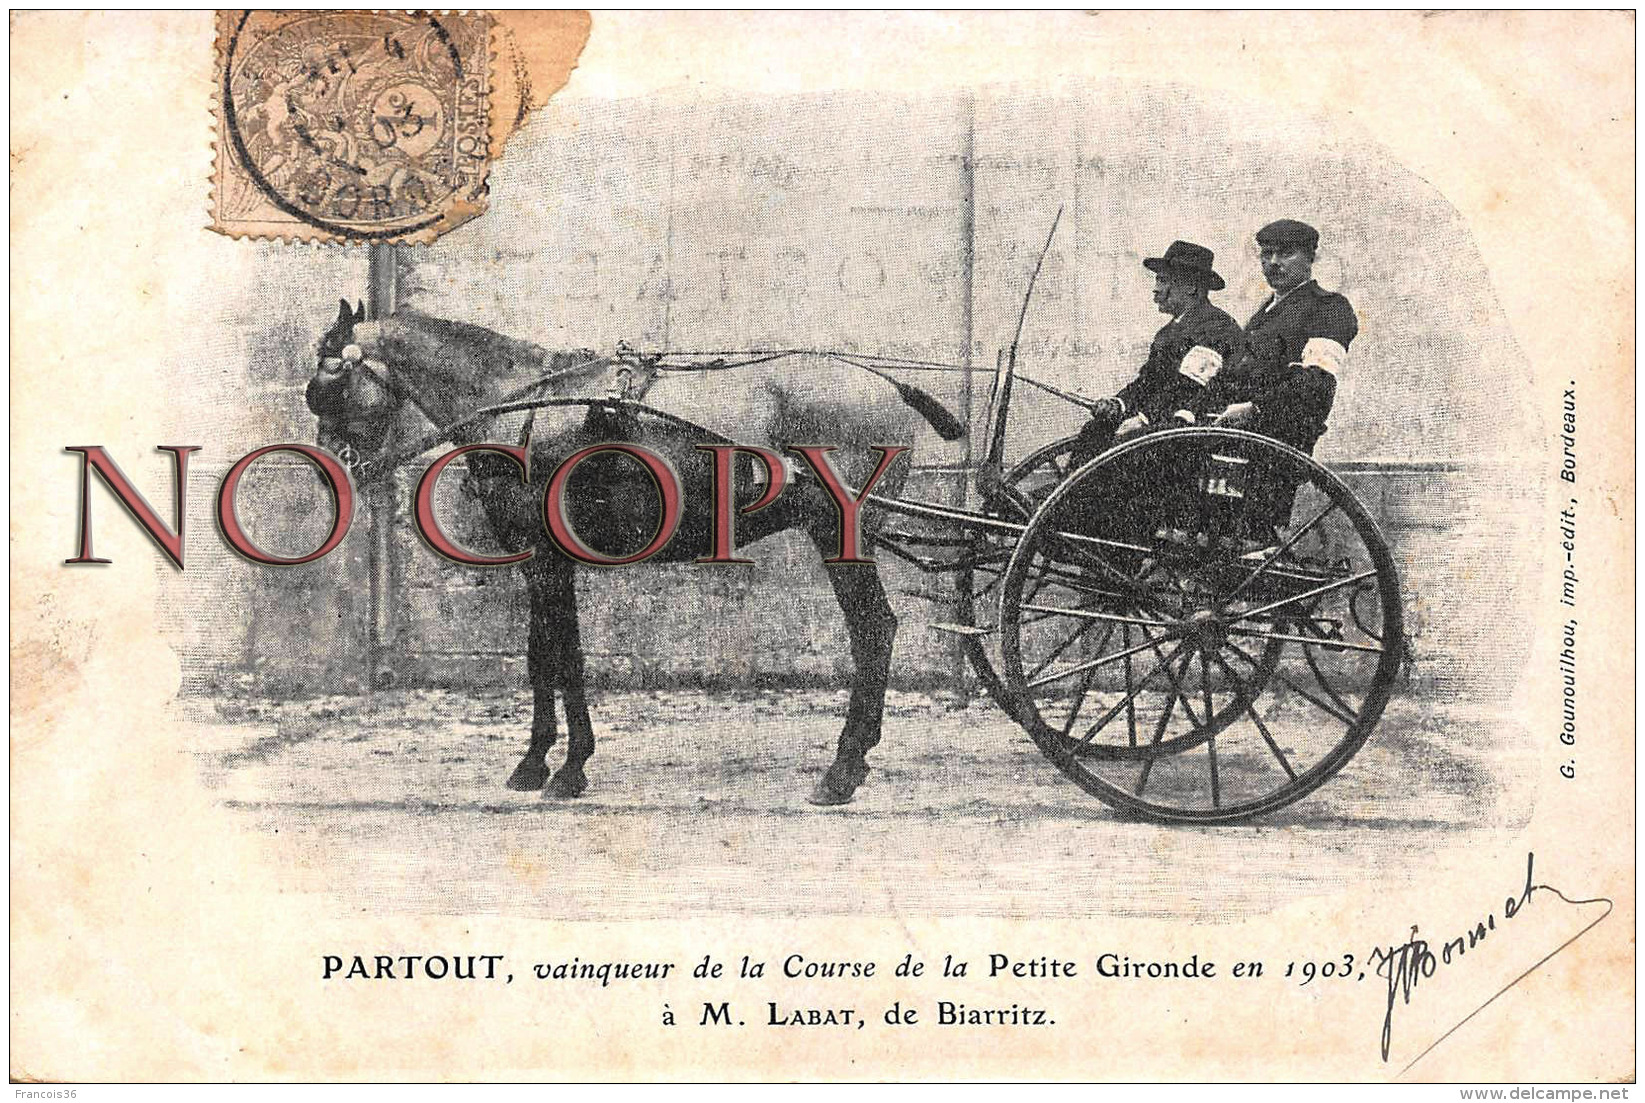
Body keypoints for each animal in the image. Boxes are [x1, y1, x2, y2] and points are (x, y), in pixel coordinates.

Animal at [305, 299, 960, 802]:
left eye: (329, 383)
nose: (335, 467)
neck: (525, 407)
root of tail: (885, 383)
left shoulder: (549, 561)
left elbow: (565, 655)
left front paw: (568, 769)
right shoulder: (538, 560)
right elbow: (541, 653)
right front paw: (535, 762)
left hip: (839, 534)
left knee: (873, 629)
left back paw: (843, 770)